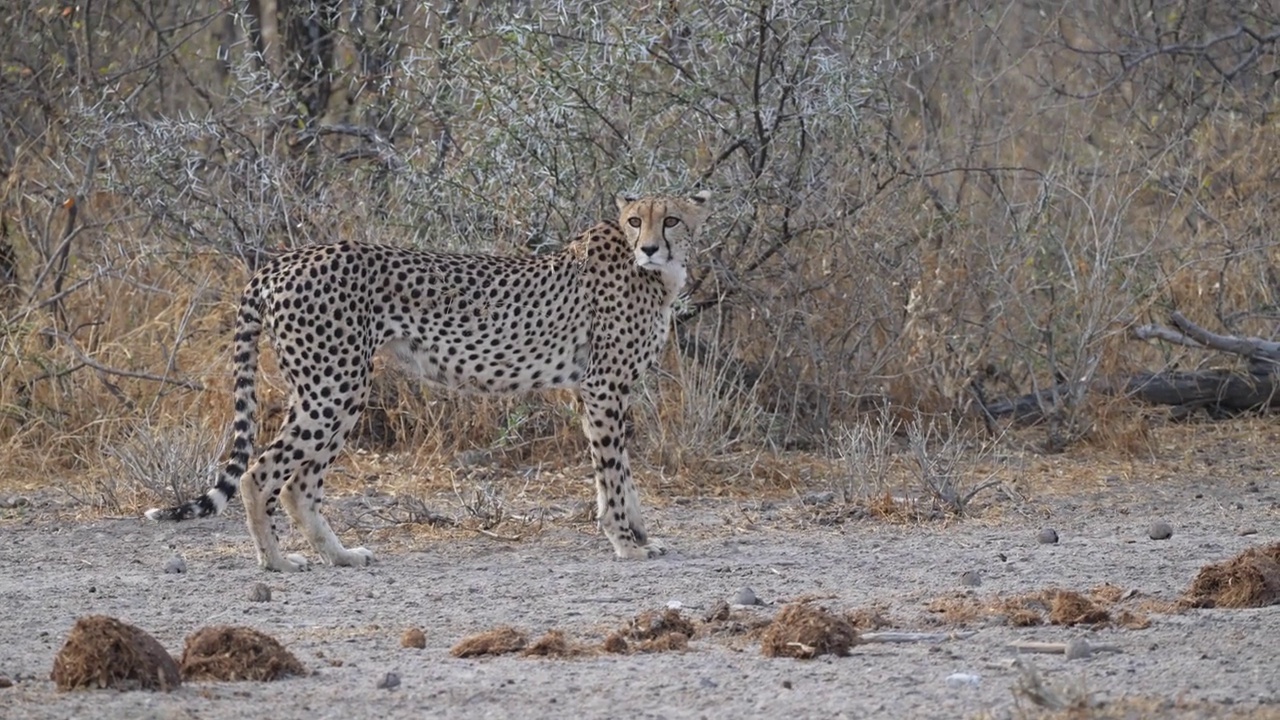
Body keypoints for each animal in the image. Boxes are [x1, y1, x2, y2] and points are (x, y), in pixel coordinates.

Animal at [149, 190, 716, 571]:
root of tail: (284, 259)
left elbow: (623, 475)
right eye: (635, 220)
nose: (650, 248)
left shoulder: (597, 391)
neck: (657, 275)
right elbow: (613, 474)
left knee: (298, 484)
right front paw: (624, 542)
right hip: (334, 386)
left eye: (671, 220)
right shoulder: (602, 388)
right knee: (259, 473)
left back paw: (342, 555)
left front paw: (641, 536)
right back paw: (276, 562)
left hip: (328, 389)